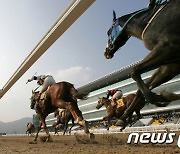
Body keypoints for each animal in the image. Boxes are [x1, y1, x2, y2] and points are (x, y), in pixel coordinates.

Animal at [103, 0, 180, 129]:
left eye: (108, 32)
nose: (106, 52)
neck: (147, 22)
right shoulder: (171, 65)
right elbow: (143, 87)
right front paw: (123, 117)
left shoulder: (168, 47)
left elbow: (134, 71)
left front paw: (157, 97)